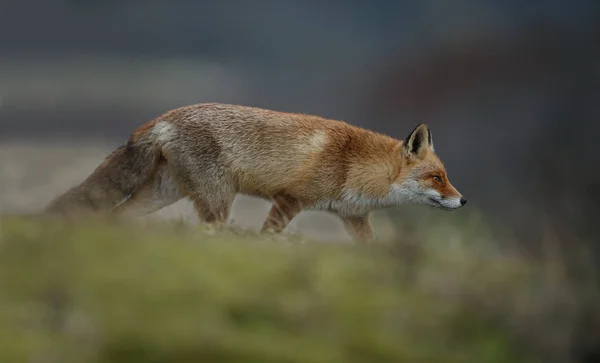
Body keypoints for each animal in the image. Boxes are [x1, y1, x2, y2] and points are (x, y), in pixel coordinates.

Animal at [45, 104, 468, 243]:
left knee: (115, 215)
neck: (354, 165)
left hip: (163, 195)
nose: (463, 200)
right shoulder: (290, 199)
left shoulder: (353, 217)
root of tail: (165, 117)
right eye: (436, 178)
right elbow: (269, 237)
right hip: (218, 202)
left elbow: (371, 248)